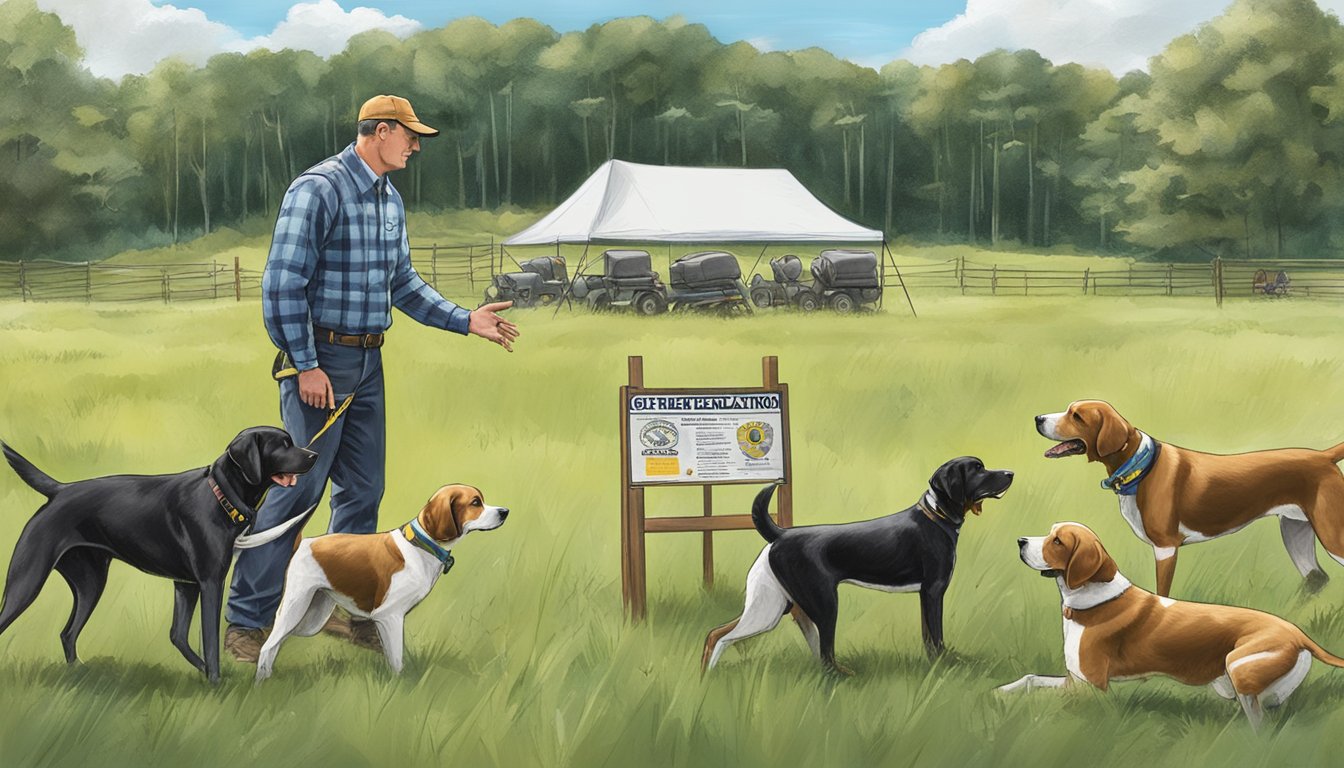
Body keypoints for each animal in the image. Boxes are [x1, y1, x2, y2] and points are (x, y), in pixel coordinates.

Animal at [1, 427, 318, 685]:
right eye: (283, 445)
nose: (314, 455)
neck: (219, 496)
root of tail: (60, 489)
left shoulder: (185, 585)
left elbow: (178, 635)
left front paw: (205, 674)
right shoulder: (210, 583)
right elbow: (209, 640)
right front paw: (215, 681)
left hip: (90, 583)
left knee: (67, 633)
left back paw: (78, 673)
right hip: (27, 580)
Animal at [254, 486, 505, 677]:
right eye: (475, 503)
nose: (505, 511)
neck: (421, 545)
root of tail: (304, 542)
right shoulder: (389, 617)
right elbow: (396, 660)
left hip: (312, 617)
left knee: (277, 642)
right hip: (295, 606)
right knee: (268, 646)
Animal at [704, 457, 1010, 672]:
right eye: (978, 469)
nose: (1010, 473)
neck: (936, 515)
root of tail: (779, 534)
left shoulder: (925, 595)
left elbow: (928, 636)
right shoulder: (933, 591)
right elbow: (935, 636)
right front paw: (944, 665)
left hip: (773, 604)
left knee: (716, 634)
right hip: (820, 604)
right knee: (823, 653)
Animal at [999, 527, 1344, 731]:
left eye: (1057, 541)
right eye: (1049, 533)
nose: (1019, 541)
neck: (1092, 600)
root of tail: (1298, 634)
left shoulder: (1090, 688)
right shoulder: (1075, 679)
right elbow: (1030, 680)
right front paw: (1000, 692)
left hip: (1238, 669)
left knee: (1261, 727)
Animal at [1037, 400, 1344, 597]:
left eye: (1076, 416)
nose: (1038, 418)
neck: (1140, 466)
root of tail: (1323, 456)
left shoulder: (1165, 548)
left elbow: (1163, 593)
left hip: (1332, 537)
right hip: (1295, 531)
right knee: (1317, 578)